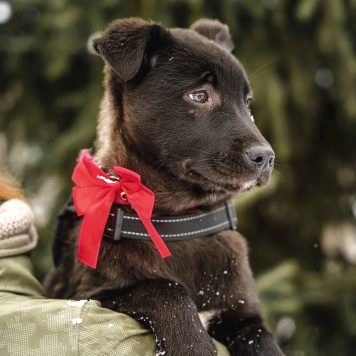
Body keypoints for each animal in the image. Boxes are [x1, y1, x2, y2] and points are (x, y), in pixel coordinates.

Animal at [45, 18, 284, 354]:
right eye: (199, 95)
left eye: (247, 103)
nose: (266, 158)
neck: (180, 221)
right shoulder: (89, 296)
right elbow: (165, 290)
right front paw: (193, 345)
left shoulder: (244, 314)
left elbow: (263, 340)